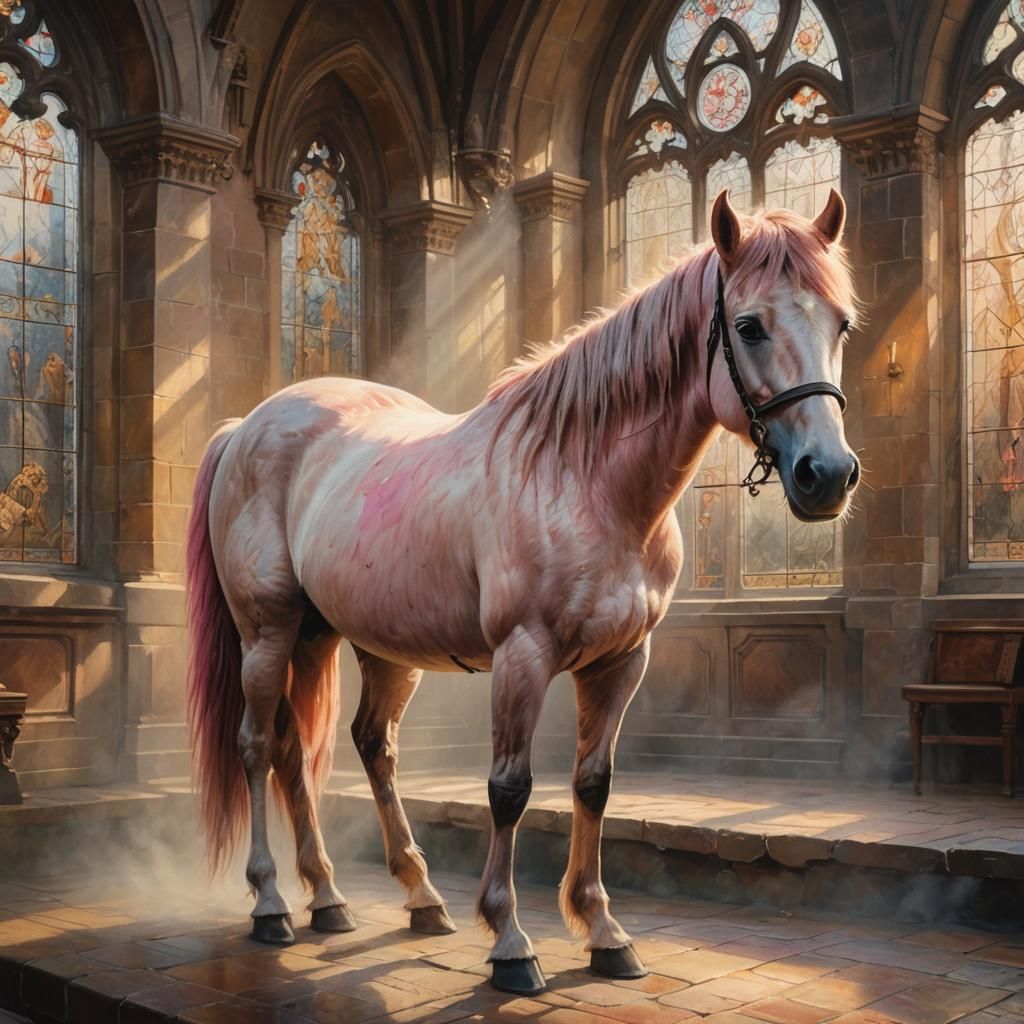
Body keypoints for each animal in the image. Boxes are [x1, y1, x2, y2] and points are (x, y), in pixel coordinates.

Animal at [185, 189, 859, 996]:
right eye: (750, 325)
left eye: (841, 322)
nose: (828, 475)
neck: (584, 479)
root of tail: (248, 425)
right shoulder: (522, 656)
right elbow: (509, 789)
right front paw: (511, 942)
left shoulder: (622, 661)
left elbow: (594, 783)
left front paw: (603, 932)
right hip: (268, 632)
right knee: (257, 746)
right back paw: (272, 903)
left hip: (347, 640)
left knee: (339, 748)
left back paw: (366, 897)